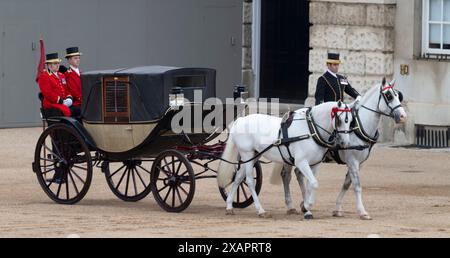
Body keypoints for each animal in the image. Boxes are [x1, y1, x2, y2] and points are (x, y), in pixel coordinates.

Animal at [216, 101, 356, 218]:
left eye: (351, 121)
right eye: (339, 120)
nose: (345, 143)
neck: (311, 130)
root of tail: (240, 120)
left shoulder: (315, 164)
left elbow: (311, 185)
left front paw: (306, 208)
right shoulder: (301, 162)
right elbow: (314, 183)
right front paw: (306, 206)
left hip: (255, 155)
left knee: (238, 177)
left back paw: (229, 206)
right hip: (247, 154)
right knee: (249, 180)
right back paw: (260, 210)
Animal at [274, 77, 408, 220]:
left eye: (398, 95)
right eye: (389, 96)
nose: (403, 116)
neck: (358, 127)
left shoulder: (359, 163)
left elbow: (347, 184)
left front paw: (337, 209)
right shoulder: (352, 161)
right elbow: (357, 186)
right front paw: (362, 211)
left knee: (299, 174)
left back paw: (304, 203)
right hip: (290, 156)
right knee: (286, 176)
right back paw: (291, 206)